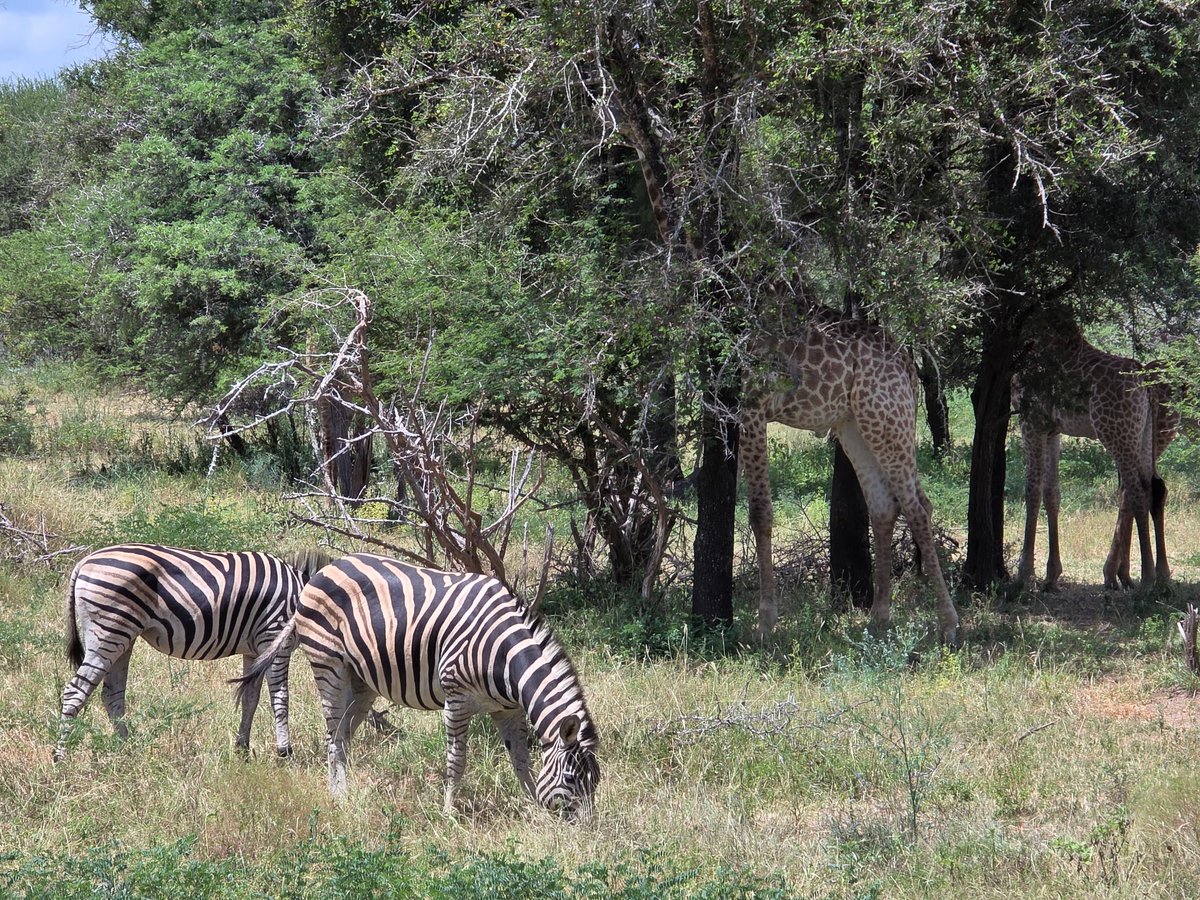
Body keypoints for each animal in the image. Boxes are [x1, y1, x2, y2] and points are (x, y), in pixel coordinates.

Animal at [55, 543, 330, 761]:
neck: (301, 595)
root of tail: (84, 562)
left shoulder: (255, 651)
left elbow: (250, 699)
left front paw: (242, 749)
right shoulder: (275, 637)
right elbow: (281, 699)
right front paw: (285, 752)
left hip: (122, 637)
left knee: (112, 696)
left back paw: (129, 750)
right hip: (109, 631)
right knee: (75, 691)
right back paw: (60, 757)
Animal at [235, 552, 600, 820]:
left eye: (596, 782)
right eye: (572, 780)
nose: (584, 831)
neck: (505, 658)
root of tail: (322, 571)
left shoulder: (507, 710)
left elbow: (522, 762)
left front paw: (532, 807)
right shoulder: (457, 700)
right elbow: (457, 760)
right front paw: (449, 813)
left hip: (361, 679)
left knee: (343, 735)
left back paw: (344, 790)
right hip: (328, 664)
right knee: (332, 734)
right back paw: (338, 796)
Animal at [742, 297, 960, 645]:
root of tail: (908, 365)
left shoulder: (751, 403)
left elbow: (759, 511)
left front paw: (765, 623)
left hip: (886, 418)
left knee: (916, 507)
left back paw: (949, 624)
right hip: (855, 424)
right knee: (887, 505)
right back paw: (879, 617)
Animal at [1014, 327, 1175, 592]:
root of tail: (1145, 385)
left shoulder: (1031, 421)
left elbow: (1032, 491)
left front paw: (1025, 574)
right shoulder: (1053, 429)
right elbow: (1052, 493)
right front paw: (1051, 575)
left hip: (1117, 433)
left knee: (1136, 491)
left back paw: (1145, 579)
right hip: (1144, 436)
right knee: (1155, 487)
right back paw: (1161, 577)